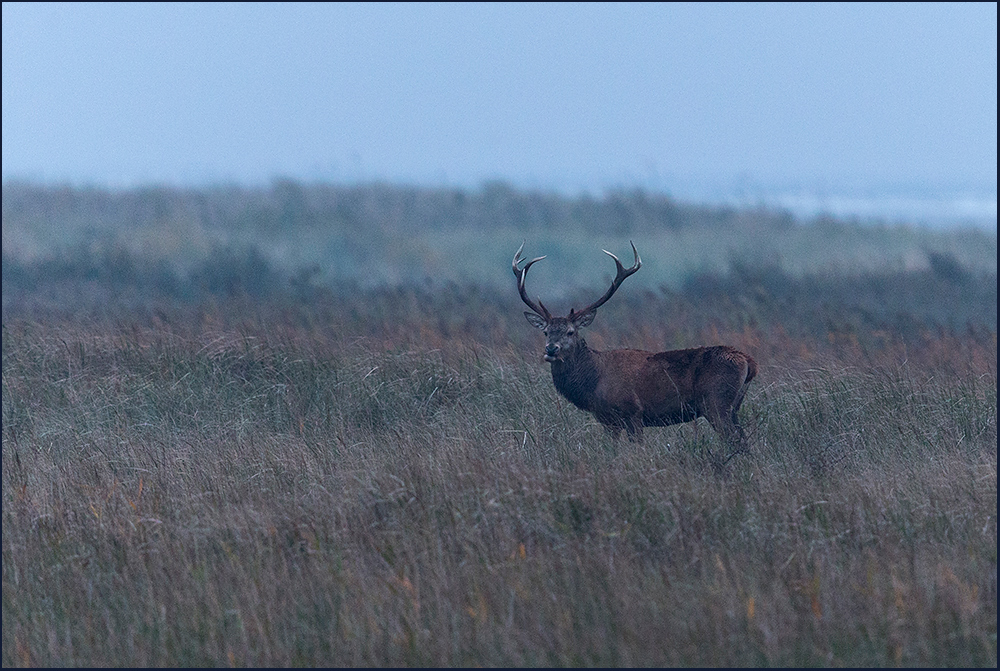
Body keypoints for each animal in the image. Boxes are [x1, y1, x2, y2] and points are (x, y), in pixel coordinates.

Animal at [516, 243, 756, 468]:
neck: (594, 381)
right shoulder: (608, 420)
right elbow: (611, 450)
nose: (551, 349)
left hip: (716, 402)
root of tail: (748, 361)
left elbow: (637, 449)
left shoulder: (633, 412)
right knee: (744, 440)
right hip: (733, 406)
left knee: (736, 440)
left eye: (570, 332)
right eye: (546, 332)